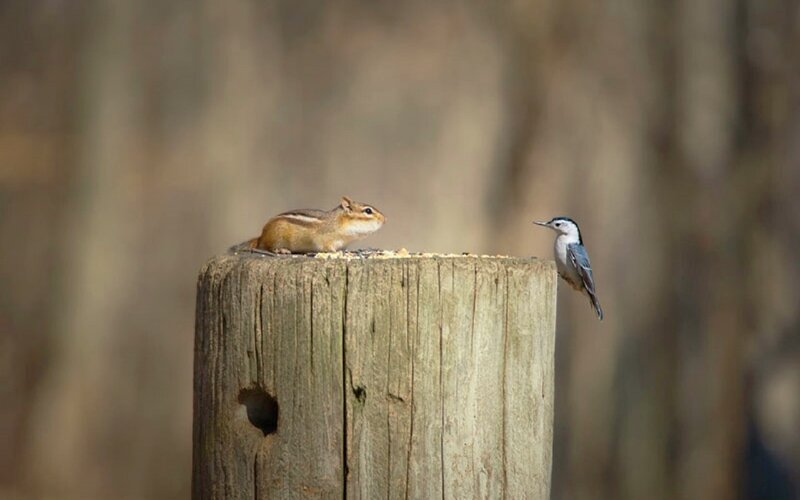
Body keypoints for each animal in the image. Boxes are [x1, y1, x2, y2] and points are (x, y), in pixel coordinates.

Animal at [232, 196, 386, 254]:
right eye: (368, 211)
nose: (385, 220)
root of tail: (261, 236)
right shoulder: (325, 239)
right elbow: (328, 248)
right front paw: (337, 253)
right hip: (277, 237)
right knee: (269, 247)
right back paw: (281, 250)